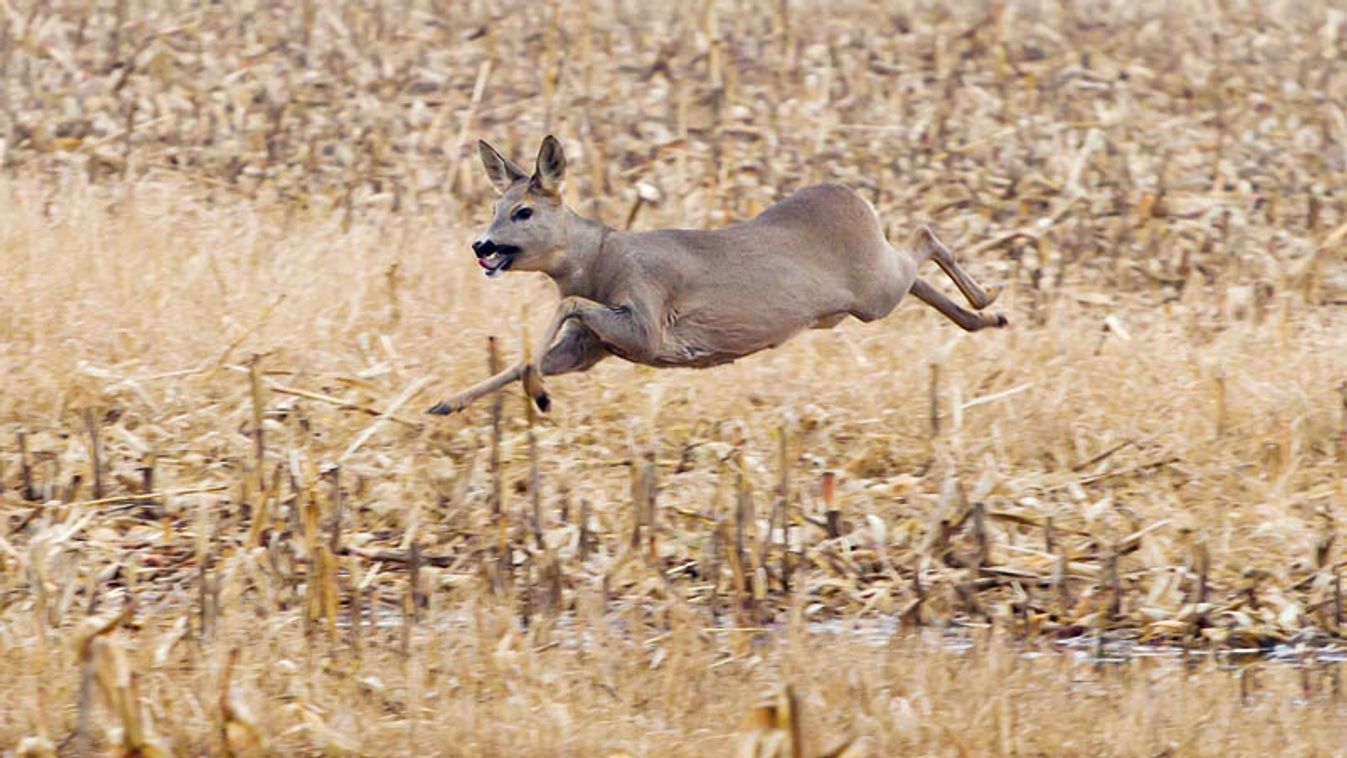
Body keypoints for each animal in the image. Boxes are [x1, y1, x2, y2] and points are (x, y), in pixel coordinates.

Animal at [425, 131, 1007, 414]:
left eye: (523, 212)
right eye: (495, 206)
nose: (481, 245)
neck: (599, 260)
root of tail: (855, 198)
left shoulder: (648, 323)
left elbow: (567, 306)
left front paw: (540, 396)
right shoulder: (592, 348)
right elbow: (525, 358)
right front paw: (447, 403)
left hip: (873, 291)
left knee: (924, 237)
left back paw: (989, 302)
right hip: (871, 290)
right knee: (916, 269)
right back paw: (985, 318)